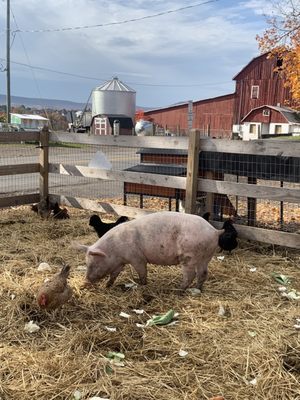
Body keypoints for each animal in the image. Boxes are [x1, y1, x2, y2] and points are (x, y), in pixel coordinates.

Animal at [75, 212, 225, 290]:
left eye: (93, 264)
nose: (83, 283)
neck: (113, 250)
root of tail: (214, 231)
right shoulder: (120, 262)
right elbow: (114, 274)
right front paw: (107, 285)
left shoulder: (136, 257)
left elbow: (142, 271)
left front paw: (142, 284)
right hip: (205, 257)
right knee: (203, 273)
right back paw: (197, 289)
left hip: (189, 256)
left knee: (190, 274)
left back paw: (178, 289)